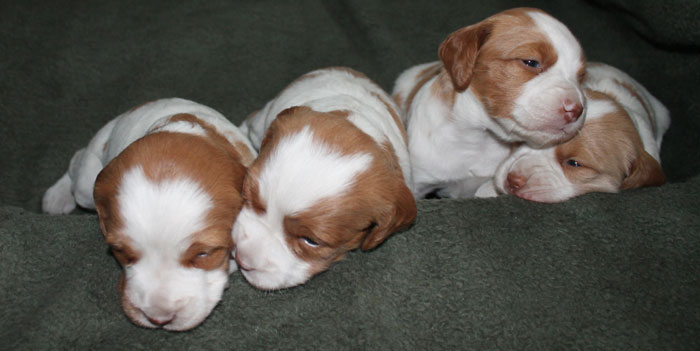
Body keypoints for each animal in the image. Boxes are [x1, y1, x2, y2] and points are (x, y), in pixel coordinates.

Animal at [41, 97, 256, 332]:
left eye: (203, 254)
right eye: (119, 250)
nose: (159, 319)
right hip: (86, 186)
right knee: (77, 160)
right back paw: (57, 196)